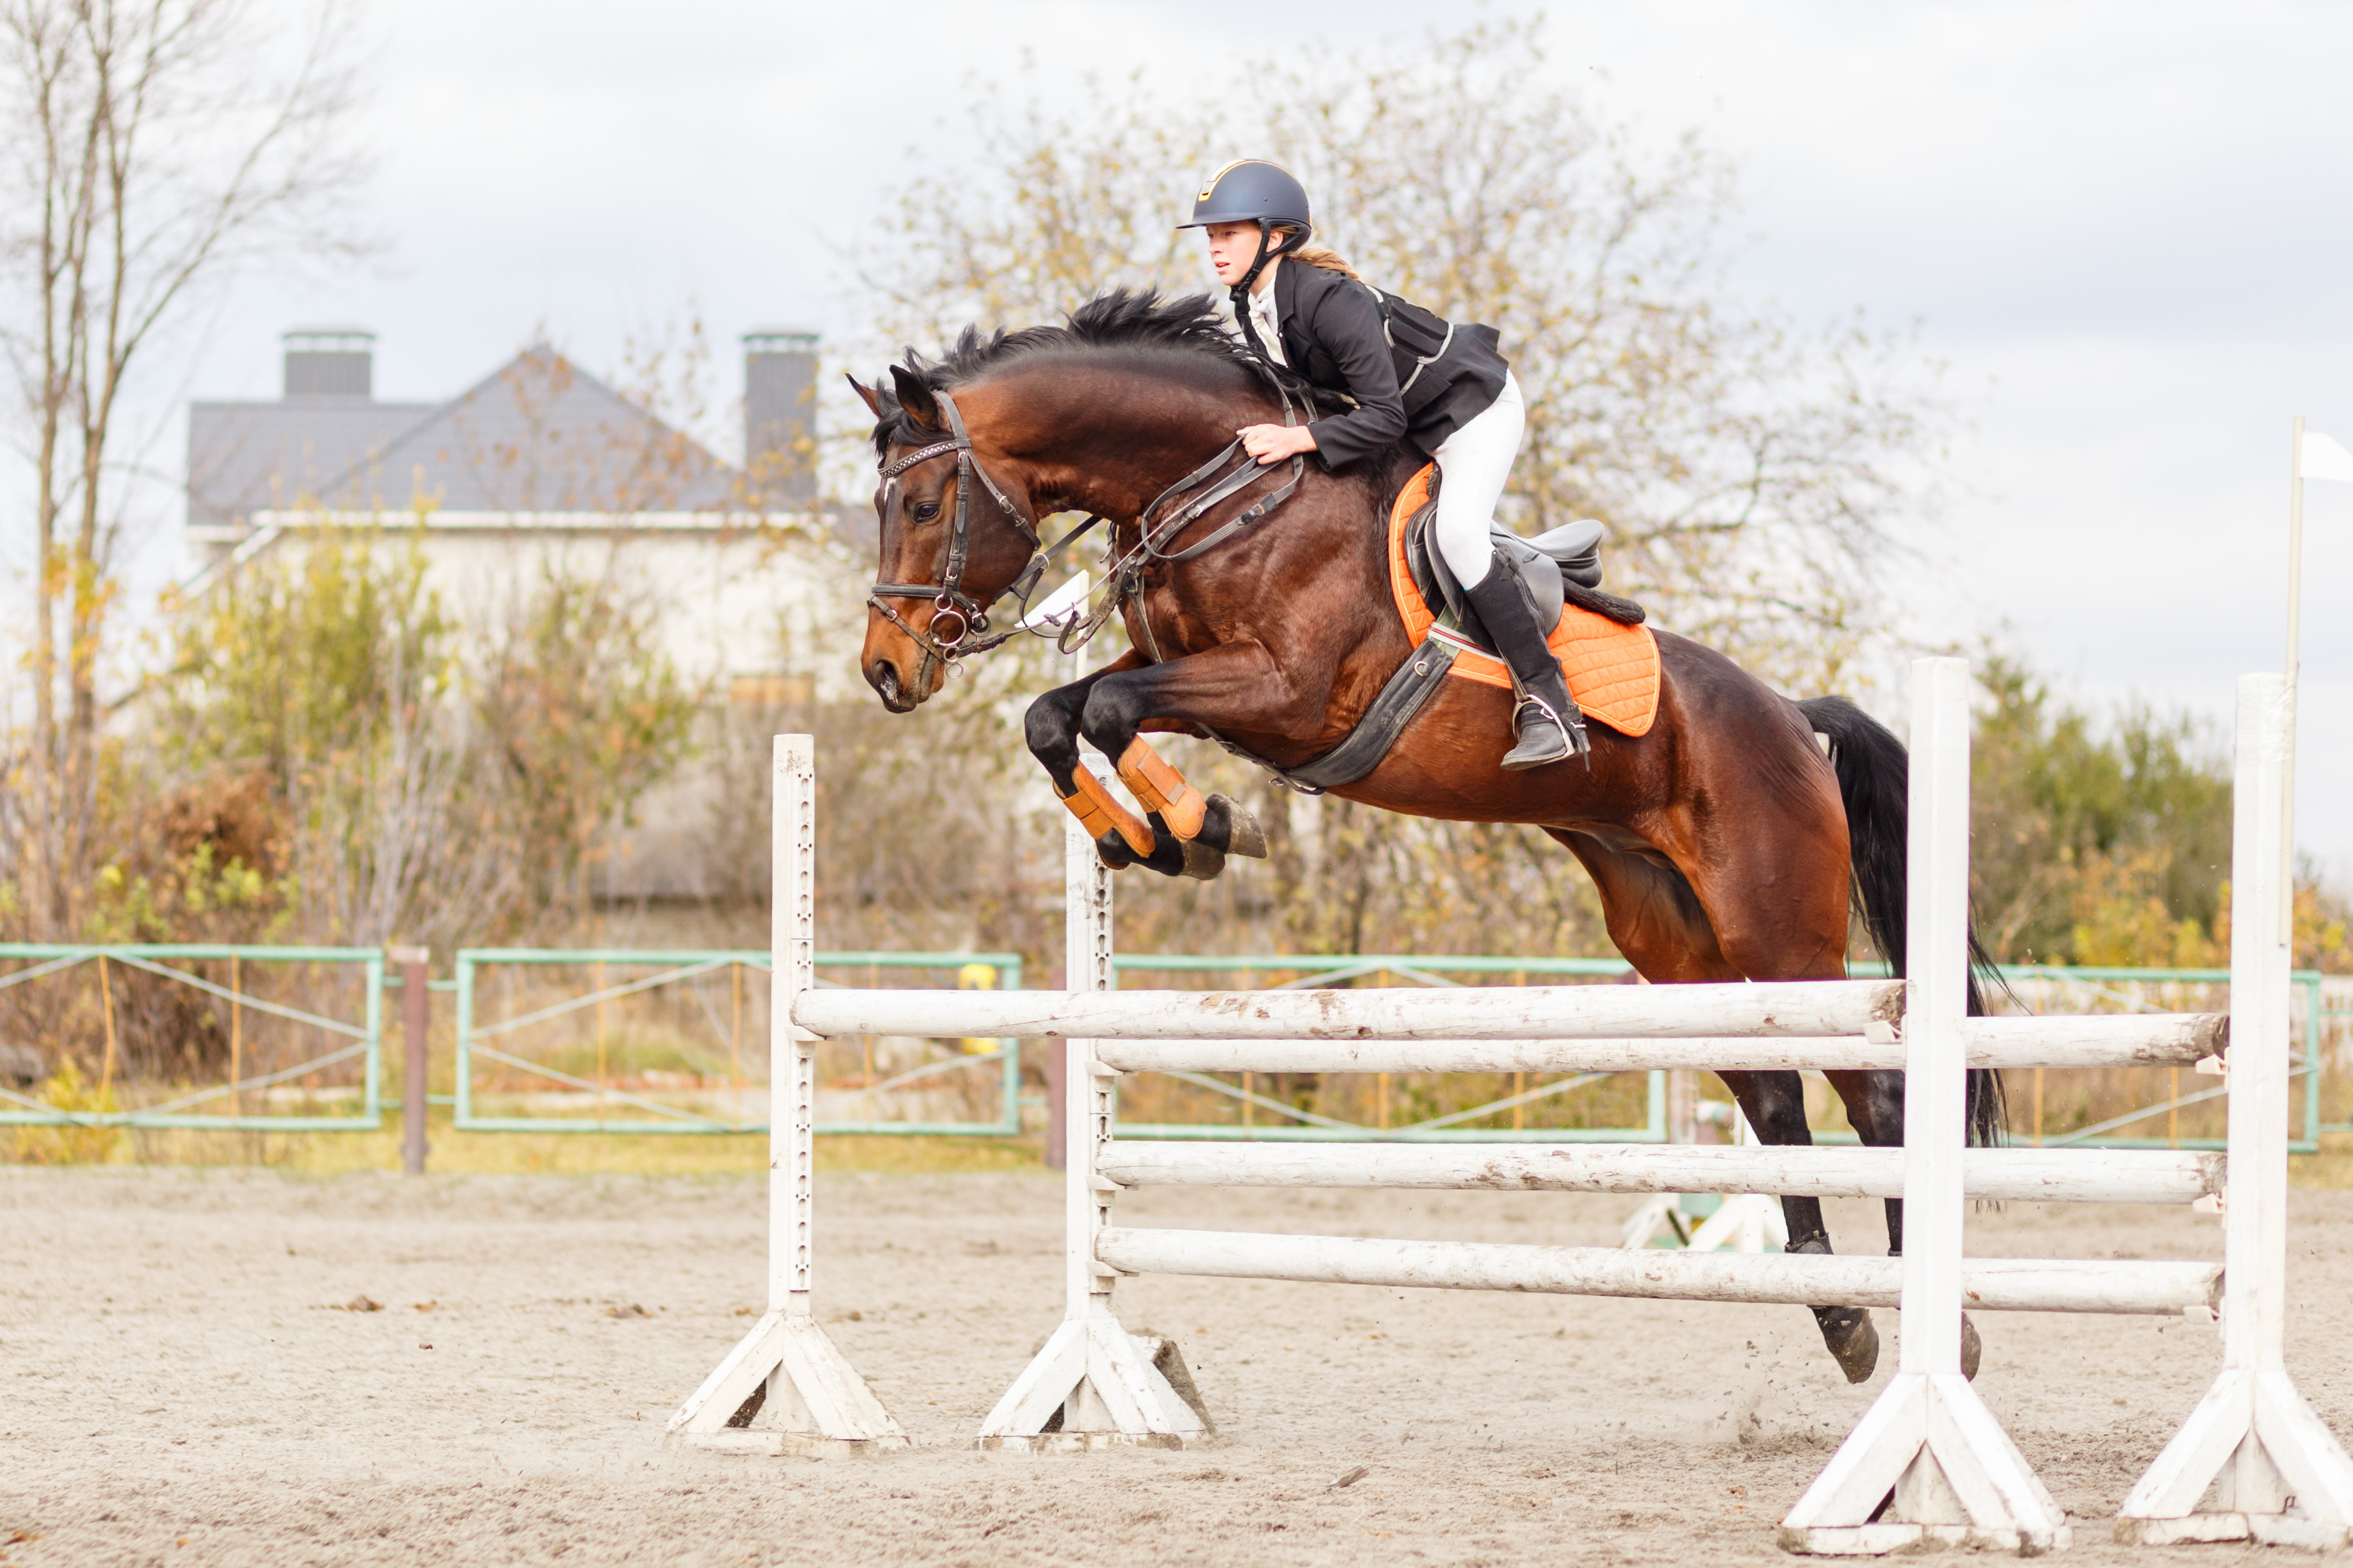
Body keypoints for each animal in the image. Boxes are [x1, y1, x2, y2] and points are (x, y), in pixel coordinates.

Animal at [851, 288, 2005, 1382]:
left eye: (923, 502)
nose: (886, 671)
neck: (1225, 493)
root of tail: (1796, 720)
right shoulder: (1190, 673)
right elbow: (1063, 715)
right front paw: (1176, 836)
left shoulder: (1286, 693)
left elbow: (1102, 708)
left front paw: (1200, 827)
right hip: (1676, 937)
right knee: (1770, 1094)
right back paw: (1838, 1312)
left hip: (1779, 931)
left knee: (1877, 1096)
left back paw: (1929, 1325)